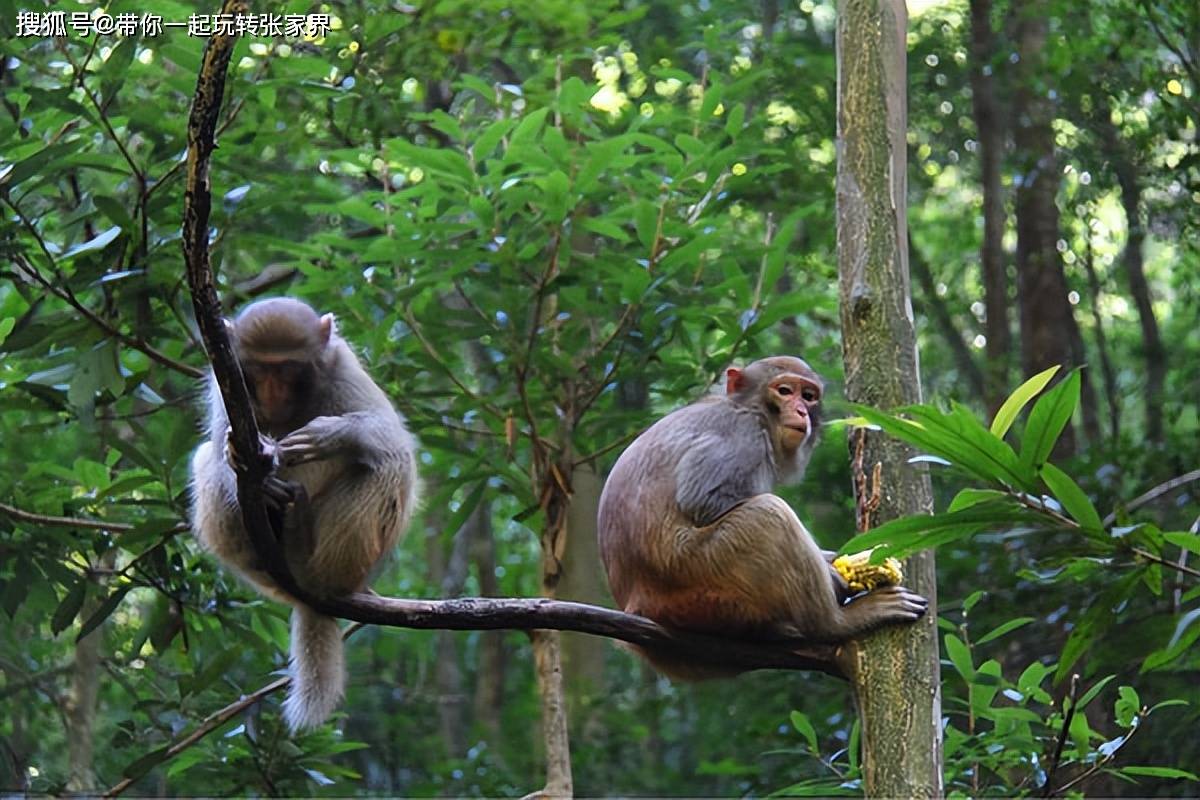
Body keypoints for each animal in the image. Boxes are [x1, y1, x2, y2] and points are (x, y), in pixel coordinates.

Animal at [184, 296, 415, 734]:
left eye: (288, 368)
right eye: (261, 370)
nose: (273, 391)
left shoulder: (342, 365)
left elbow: (394, 438)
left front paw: (332, 435)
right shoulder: (226, 384)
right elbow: (220, 443)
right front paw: (238, 457)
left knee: (390, 464)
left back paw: (307, 548)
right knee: (203, 456)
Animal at [600, 357, 926, 676]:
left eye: (808, 396)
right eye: (784, 391)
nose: (801, 411)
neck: (747, 407)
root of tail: (639, 605)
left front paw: (836, 560)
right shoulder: (743, 433)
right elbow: (704, 501)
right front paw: (833, 573)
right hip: (696, 575)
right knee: (769, 514)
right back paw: (835, 622)